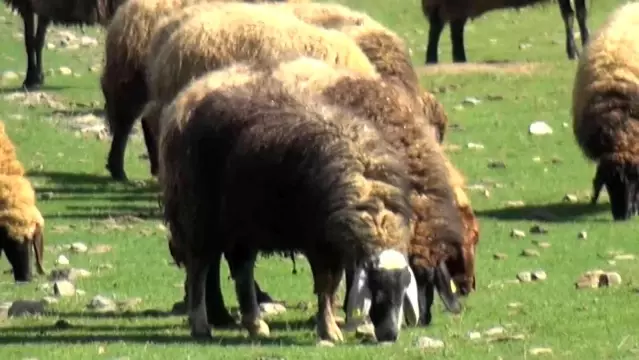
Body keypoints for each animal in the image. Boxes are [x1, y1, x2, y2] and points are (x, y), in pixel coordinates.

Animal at [158, 64, 422, 344]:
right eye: (376, 290)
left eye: (403, 289)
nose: (390, 335)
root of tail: (189, 94)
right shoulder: (319, 243)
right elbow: (326, 286)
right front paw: (329, 330)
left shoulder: (333, 246)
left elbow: (332, 286)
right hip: (198, 215)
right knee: (199, 268)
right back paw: (201, 325)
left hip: (241, 221)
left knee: (242, 269)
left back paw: (255, 324)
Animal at [422, 0, 592, 63]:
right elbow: (569, 15)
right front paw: (574, 52)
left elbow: (581, 14)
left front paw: (586, 44)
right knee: (438, 27)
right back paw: (432, 59)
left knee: (454, 30)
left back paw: (459, 59)